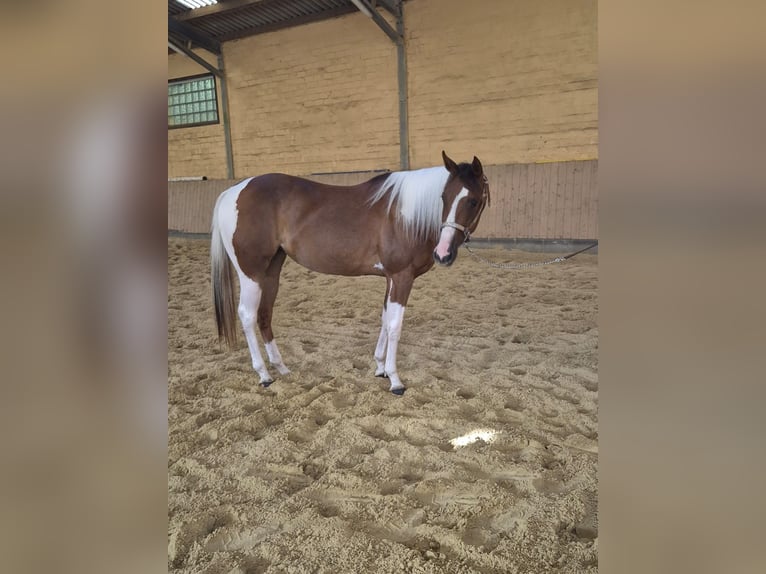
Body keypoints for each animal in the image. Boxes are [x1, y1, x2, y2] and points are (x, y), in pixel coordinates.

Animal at [210, 151, 490, 395]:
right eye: (444, 198)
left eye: (473, 201)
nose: (442, 254)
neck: (405, 216)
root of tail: (232, 191)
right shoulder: (402, 276)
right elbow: (395, 325)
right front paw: (395, 380)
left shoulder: (390, 278)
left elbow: (385, 320)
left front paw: (380, 368)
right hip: (251, 273)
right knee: (247, 315)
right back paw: (264, 375)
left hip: (272, 271)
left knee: (264, 314)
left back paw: (281, 368)